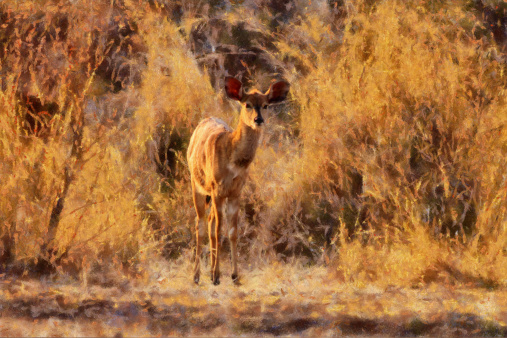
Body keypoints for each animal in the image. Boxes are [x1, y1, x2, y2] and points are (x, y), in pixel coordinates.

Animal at [187, 77, 290, 286]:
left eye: (266, 105)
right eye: (247, 104)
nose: (259, 120)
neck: (233, 160)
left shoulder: (235, 193)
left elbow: (233, 232)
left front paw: (234, 275)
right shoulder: (218, 189)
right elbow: (219, 231)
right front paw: (217, 276)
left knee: (209, 222)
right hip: (197, 186)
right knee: (200, 223)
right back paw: (197, 276)